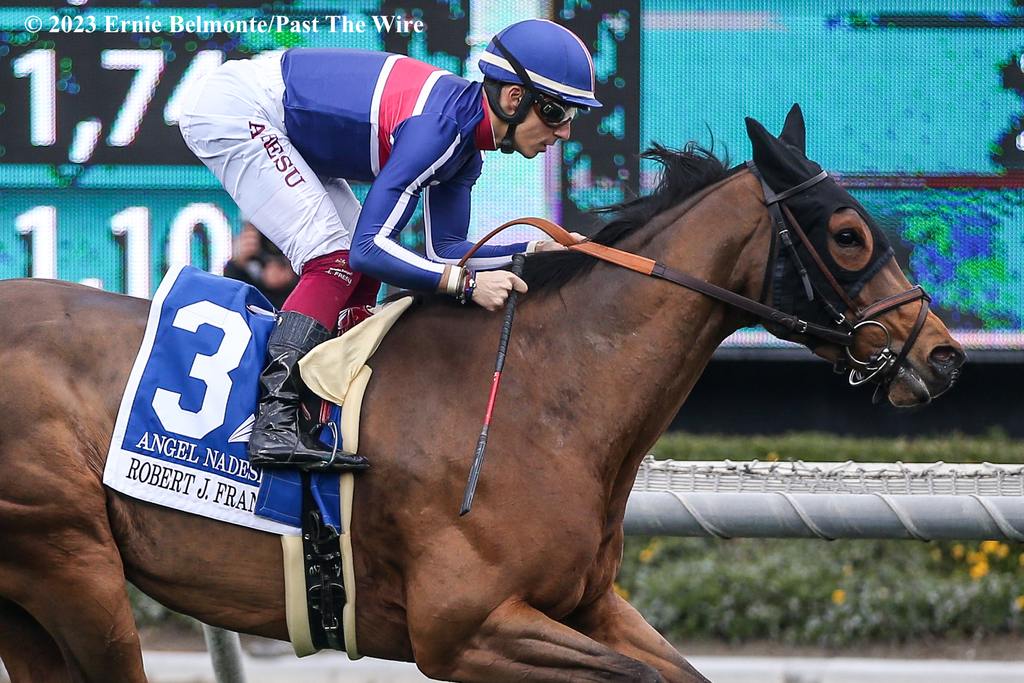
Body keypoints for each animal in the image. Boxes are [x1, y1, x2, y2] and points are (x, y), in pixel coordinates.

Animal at [0, 108, 958, 683]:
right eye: (847, 233)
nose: (942, 354)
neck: (548, 398)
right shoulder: (466, 629)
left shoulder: (583, 603)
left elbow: (677, 670)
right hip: (70, 564)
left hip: (31, 598)